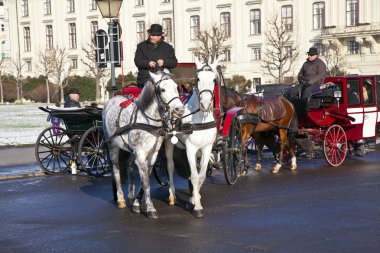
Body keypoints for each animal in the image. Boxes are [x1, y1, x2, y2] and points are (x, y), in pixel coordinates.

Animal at [101, 70, 183, 218]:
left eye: (176, 87)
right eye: (162, 89)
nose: (179, 109)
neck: (148, 121)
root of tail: (111, 100)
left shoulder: (152, 153)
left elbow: (147, 176)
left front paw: (137, 203)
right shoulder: (140, 153)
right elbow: (145, 181)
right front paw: (150, 208)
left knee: (129, 166)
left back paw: (130, 196)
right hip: (112, 146)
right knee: (116, 170)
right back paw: (120, 198)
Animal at [165, 56, 221, 217]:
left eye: (214, 79)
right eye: (198, 78)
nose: (205, 104)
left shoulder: (206, 148)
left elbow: (200, 176)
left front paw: (195, 198)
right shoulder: (190, 148)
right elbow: (195, 176)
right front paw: (197, 207)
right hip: (169, 143)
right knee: (170, 166)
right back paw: (172, 194)